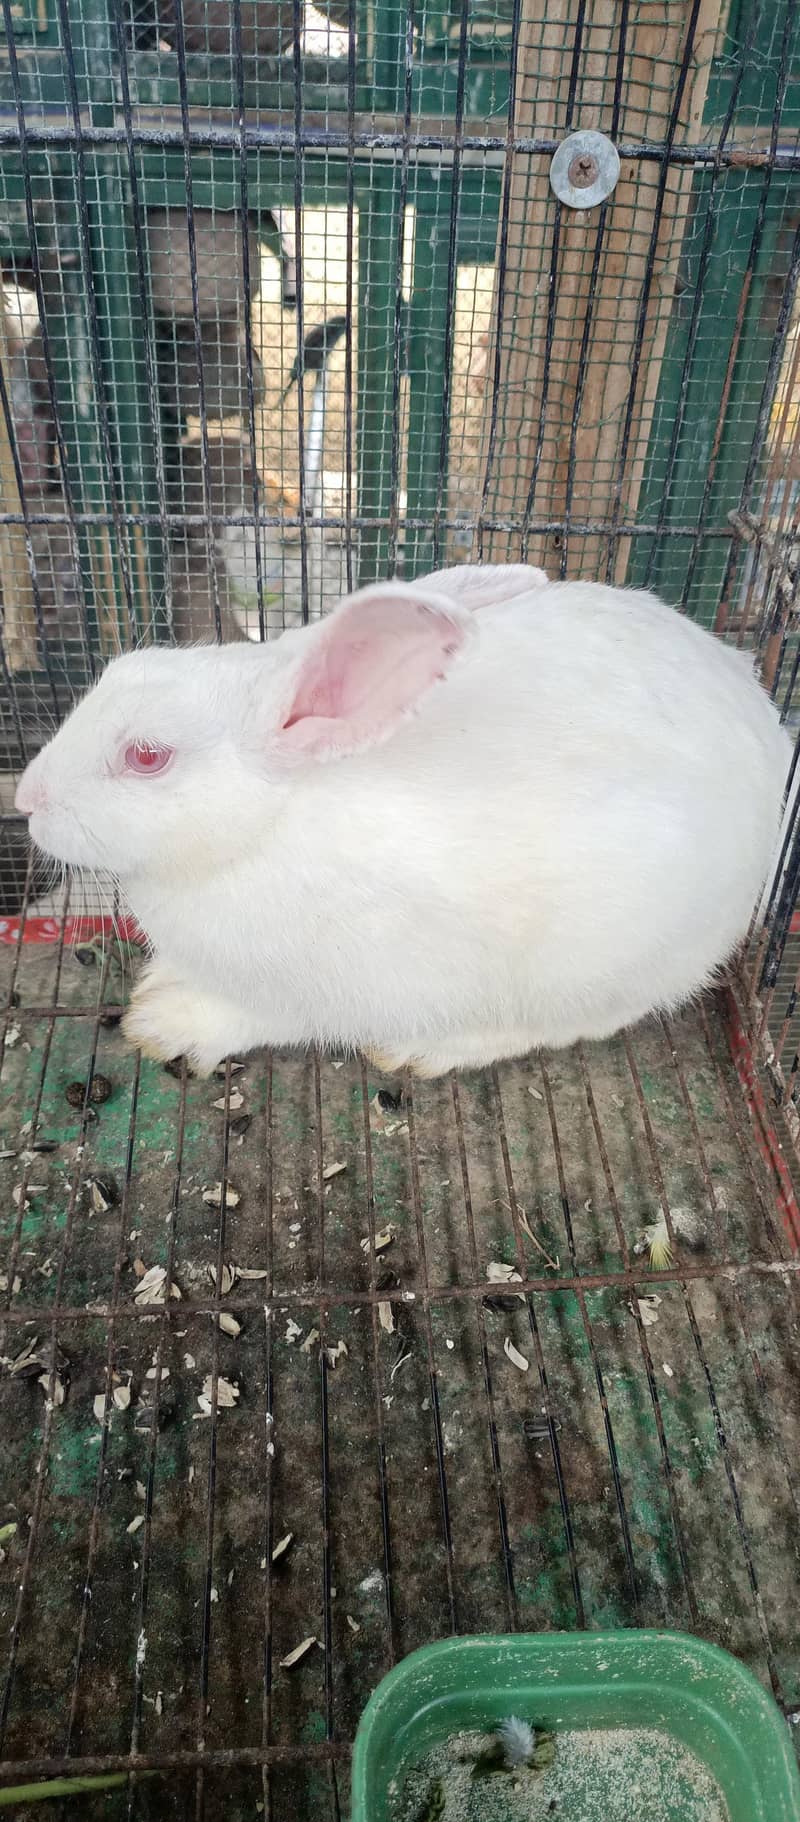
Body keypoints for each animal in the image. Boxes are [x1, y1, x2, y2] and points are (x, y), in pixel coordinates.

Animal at [14, 565, 791, 1080]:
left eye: (147, 756)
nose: (26, 799)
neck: (264, 830)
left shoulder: (339, 989)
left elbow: (264, 1018)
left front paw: (167, 1023)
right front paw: (160, 988)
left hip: (606, 957)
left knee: (571, 1021)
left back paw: (430, 1050)